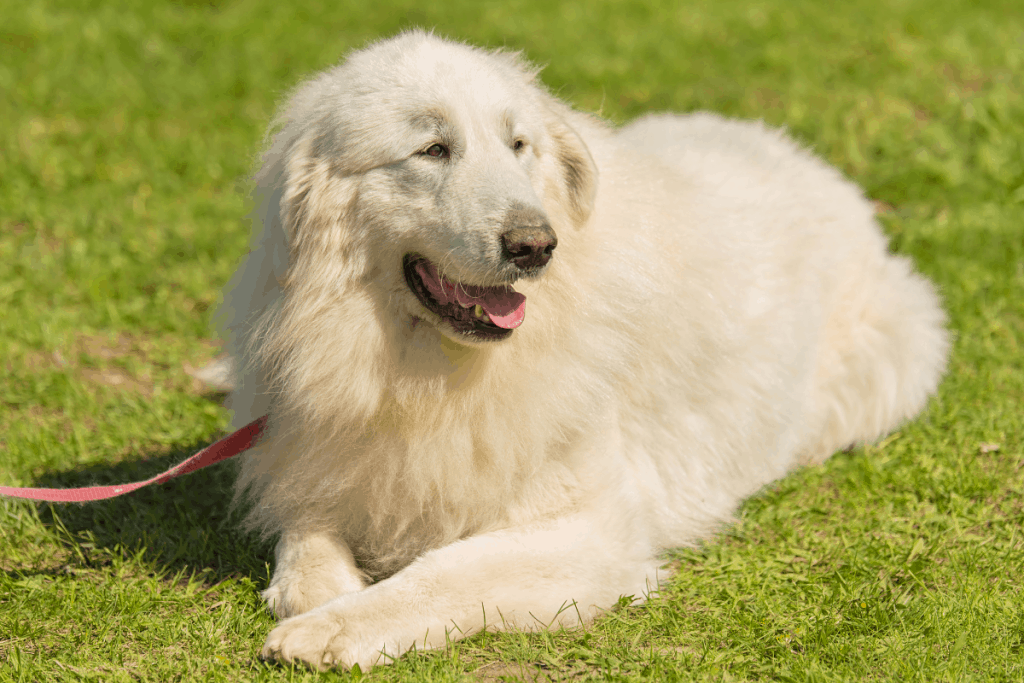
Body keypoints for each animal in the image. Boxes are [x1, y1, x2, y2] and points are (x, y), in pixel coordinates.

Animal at [220, 30, 946, 667]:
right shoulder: (316, 451)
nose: (535, 246)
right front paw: (317, 591)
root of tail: (804, 156)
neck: (424, 368)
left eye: (519, 145)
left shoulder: (589, 530)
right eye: (432, 149)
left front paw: (331, 627)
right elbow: (305, 531)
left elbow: (441, 572)